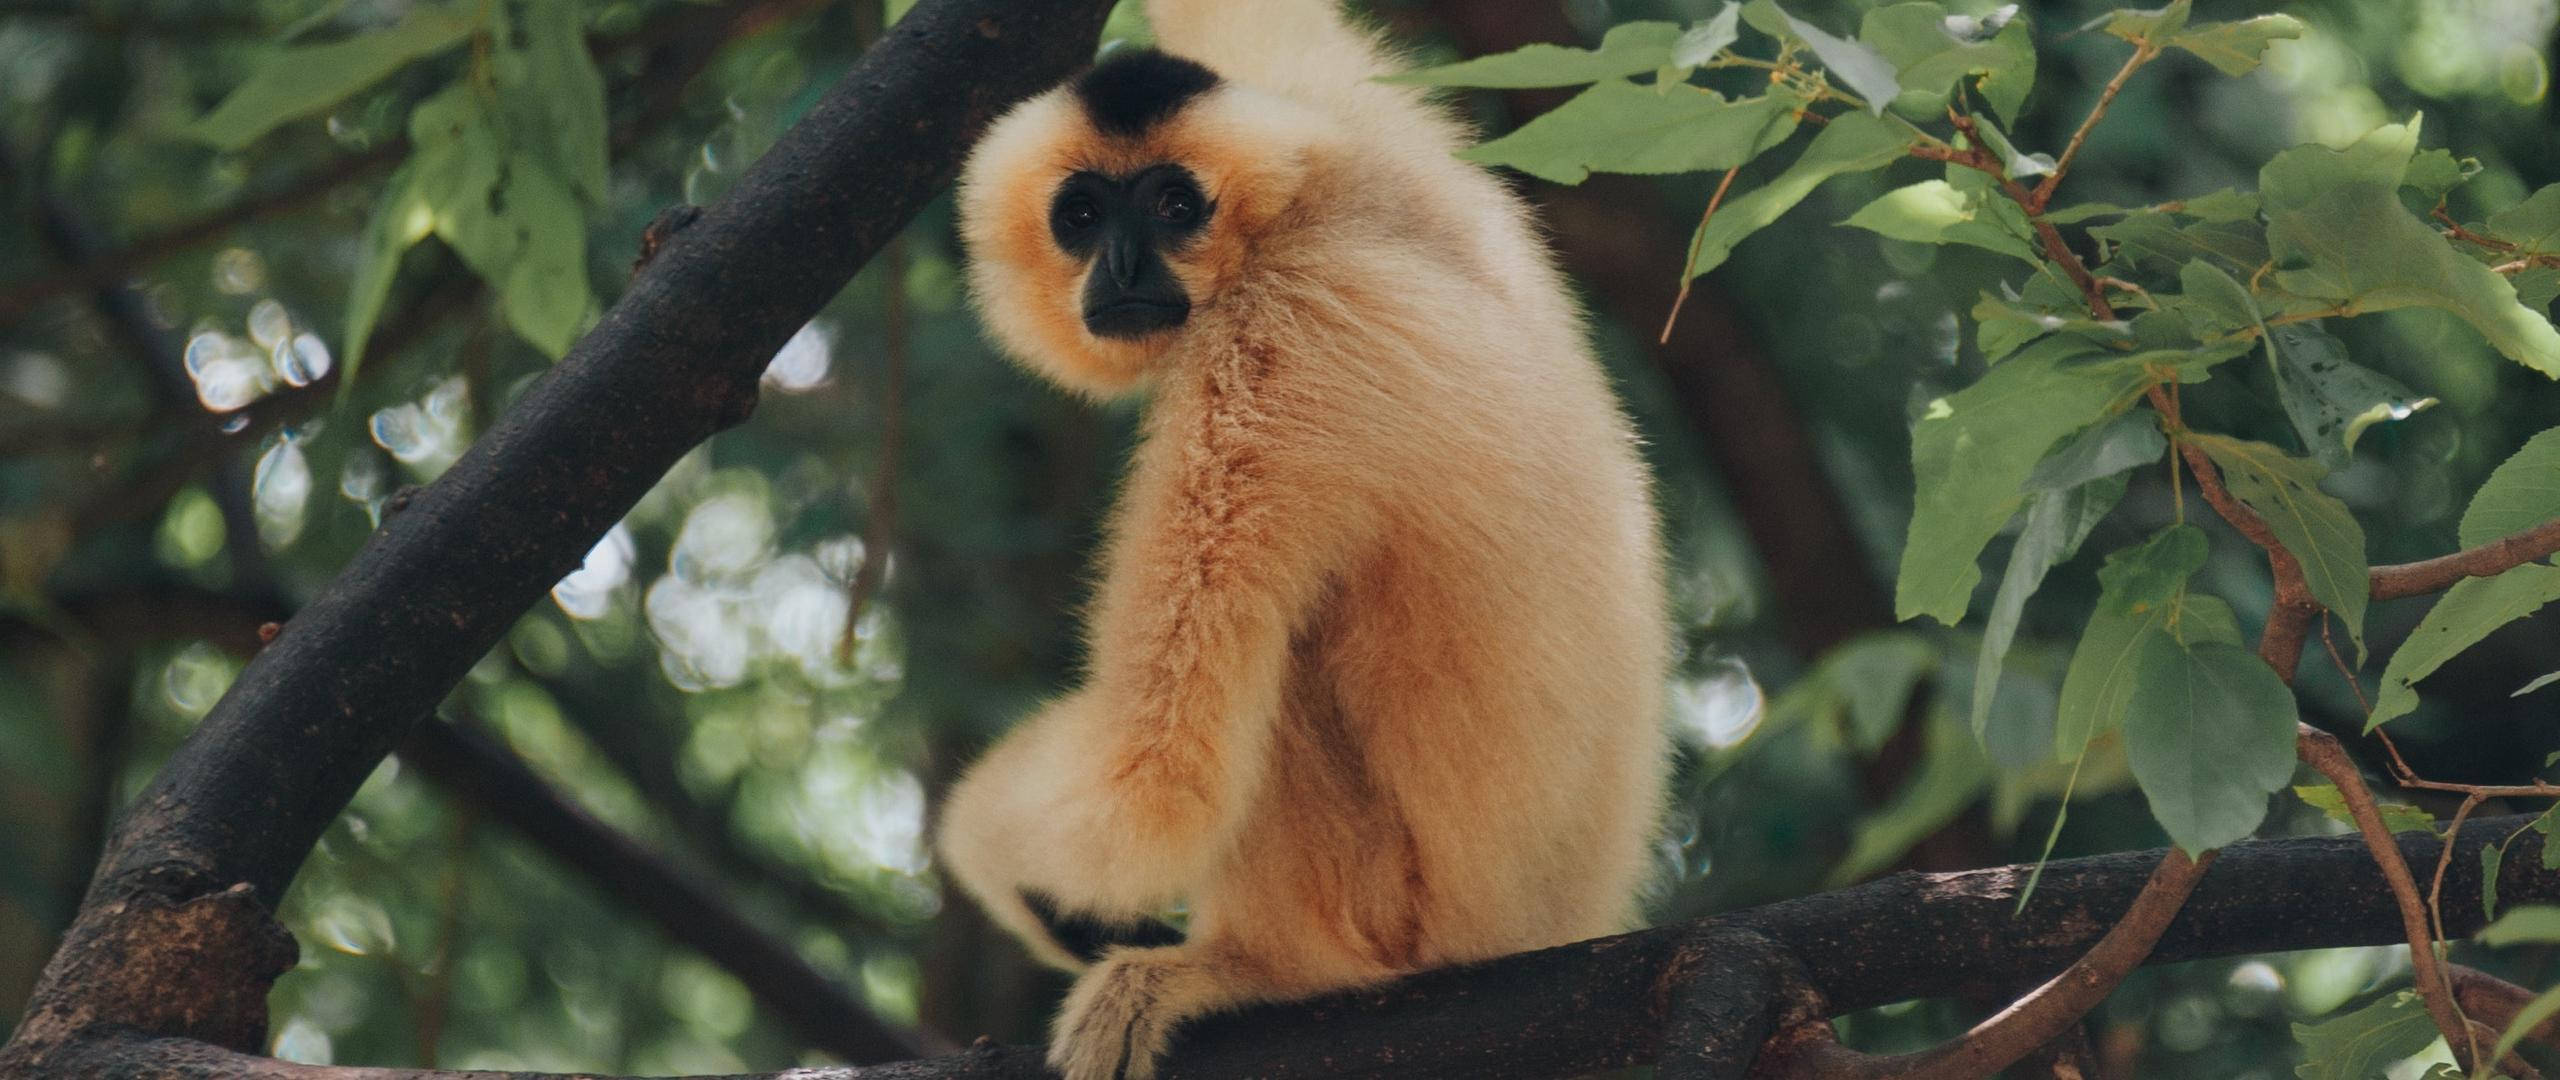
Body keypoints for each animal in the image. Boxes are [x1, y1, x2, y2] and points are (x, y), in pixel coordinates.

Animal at [934, 1, 1671, 1076]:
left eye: (1173, 206)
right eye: (1081, 217)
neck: (1304, 222)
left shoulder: (1263, 359)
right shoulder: (1366, 139)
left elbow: (1158, 782)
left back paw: (1250, 971)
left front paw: (990, 849)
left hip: (1396, 914)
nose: (1122, 263)